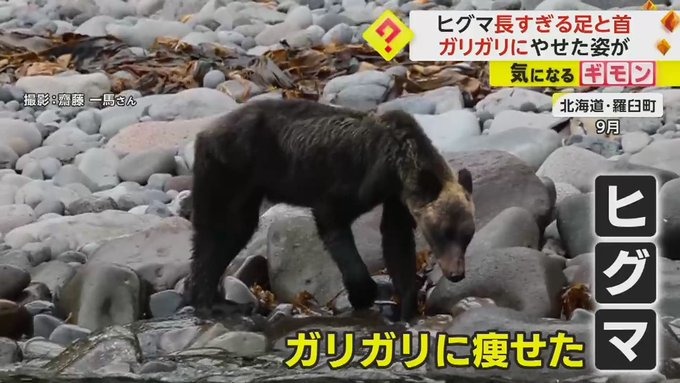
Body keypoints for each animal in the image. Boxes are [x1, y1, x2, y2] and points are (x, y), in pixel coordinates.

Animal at [185, 98, 472, 320]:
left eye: (467, 235)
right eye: (443, 232)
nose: (456, 274)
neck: (395, 164)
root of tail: (204, 132)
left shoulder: (397, 197)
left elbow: (396, 239)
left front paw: (407, 307)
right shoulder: (354, 182)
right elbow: (334, 225)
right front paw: (364, 293)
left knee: (231, 232)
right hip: (230, 171)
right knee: (220, 230)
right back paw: (212, 303)